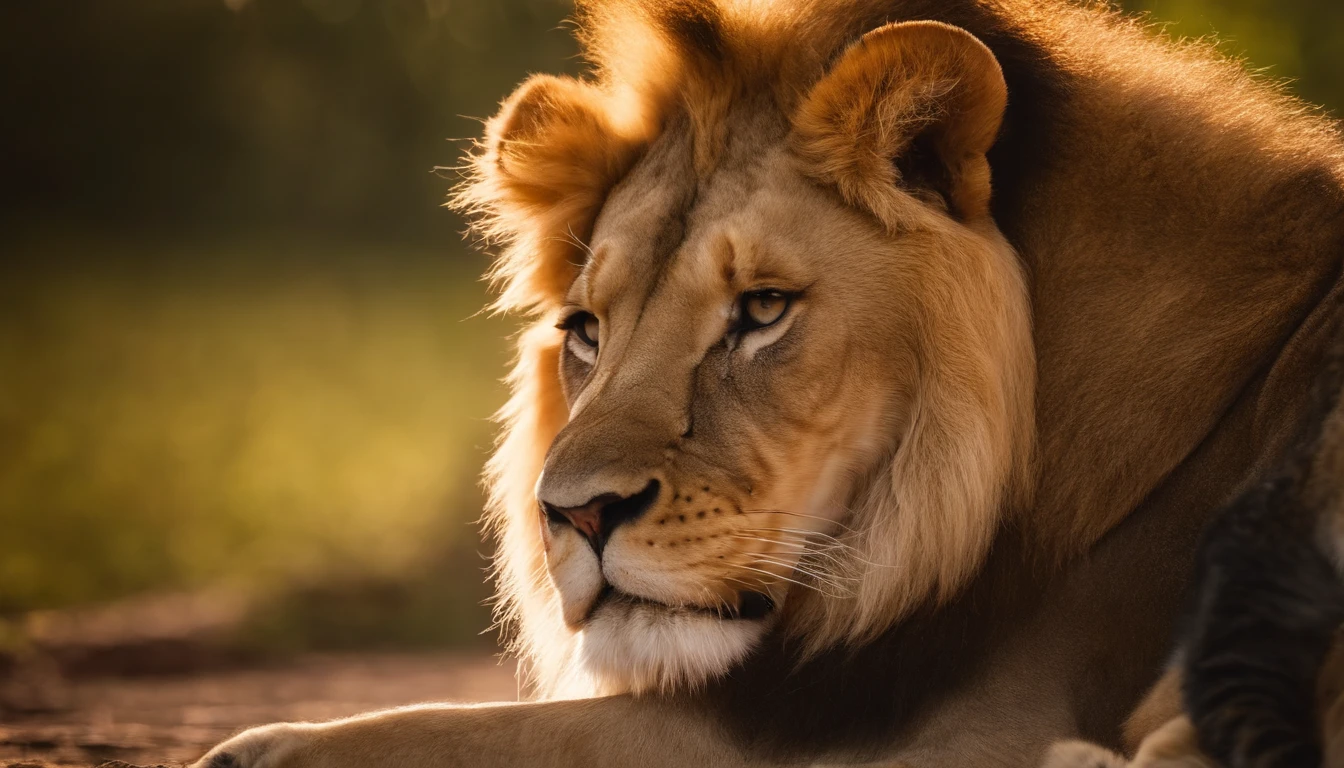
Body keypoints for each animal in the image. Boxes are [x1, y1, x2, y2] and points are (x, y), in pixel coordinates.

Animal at [186, 1, 1344, 768]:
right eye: (586, 331)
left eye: (761, 310)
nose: (575, 515)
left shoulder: (963, 721)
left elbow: (485, 734)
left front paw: (260, 748)